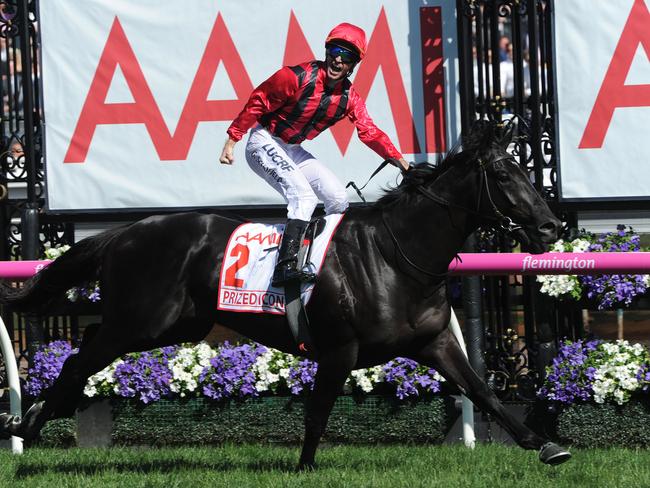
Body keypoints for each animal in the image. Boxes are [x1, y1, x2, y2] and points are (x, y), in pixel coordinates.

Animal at [0, 122, 568, 466]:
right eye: (503, 174)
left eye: (525, 168)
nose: (550, 225)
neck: (395, 255)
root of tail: (123, 233)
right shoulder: (339, 349)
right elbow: (317, 413)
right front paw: (305, 466)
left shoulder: (436, 342)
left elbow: (483, 391)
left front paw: (544, 445)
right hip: (141, 321)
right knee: (79, 358)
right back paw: (27, 424)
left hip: (170, 324)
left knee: (86, 344)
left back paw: (35, 417)